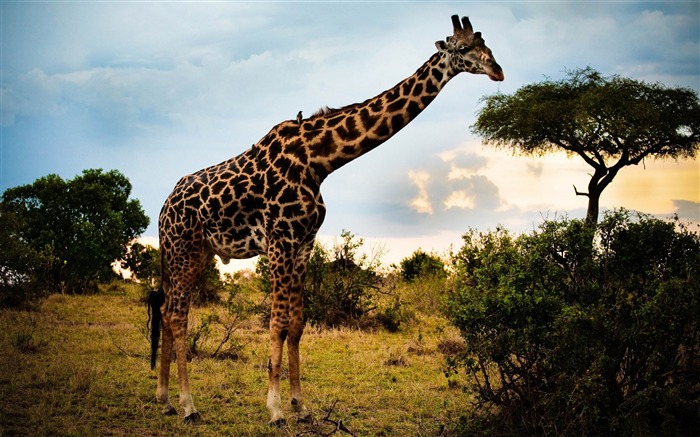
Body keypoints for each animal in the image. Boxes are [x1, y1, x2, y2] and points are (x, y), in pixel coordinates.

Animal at [152, 15, 504, 424]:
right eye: (462, 48)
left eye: (487, 44)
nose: (498, 71)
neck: (320, 161)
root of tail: (163, 208)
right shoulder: (280, 241)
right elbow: (276, 322)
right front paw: (275, 410)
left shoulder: (304, 243)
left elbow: (297, 324)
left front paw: (301, 405)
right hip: (185, 249)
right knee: (177, 314)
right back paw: (188, 405)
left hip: (197, 251)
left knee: (166, 309)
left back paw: (164, 397)